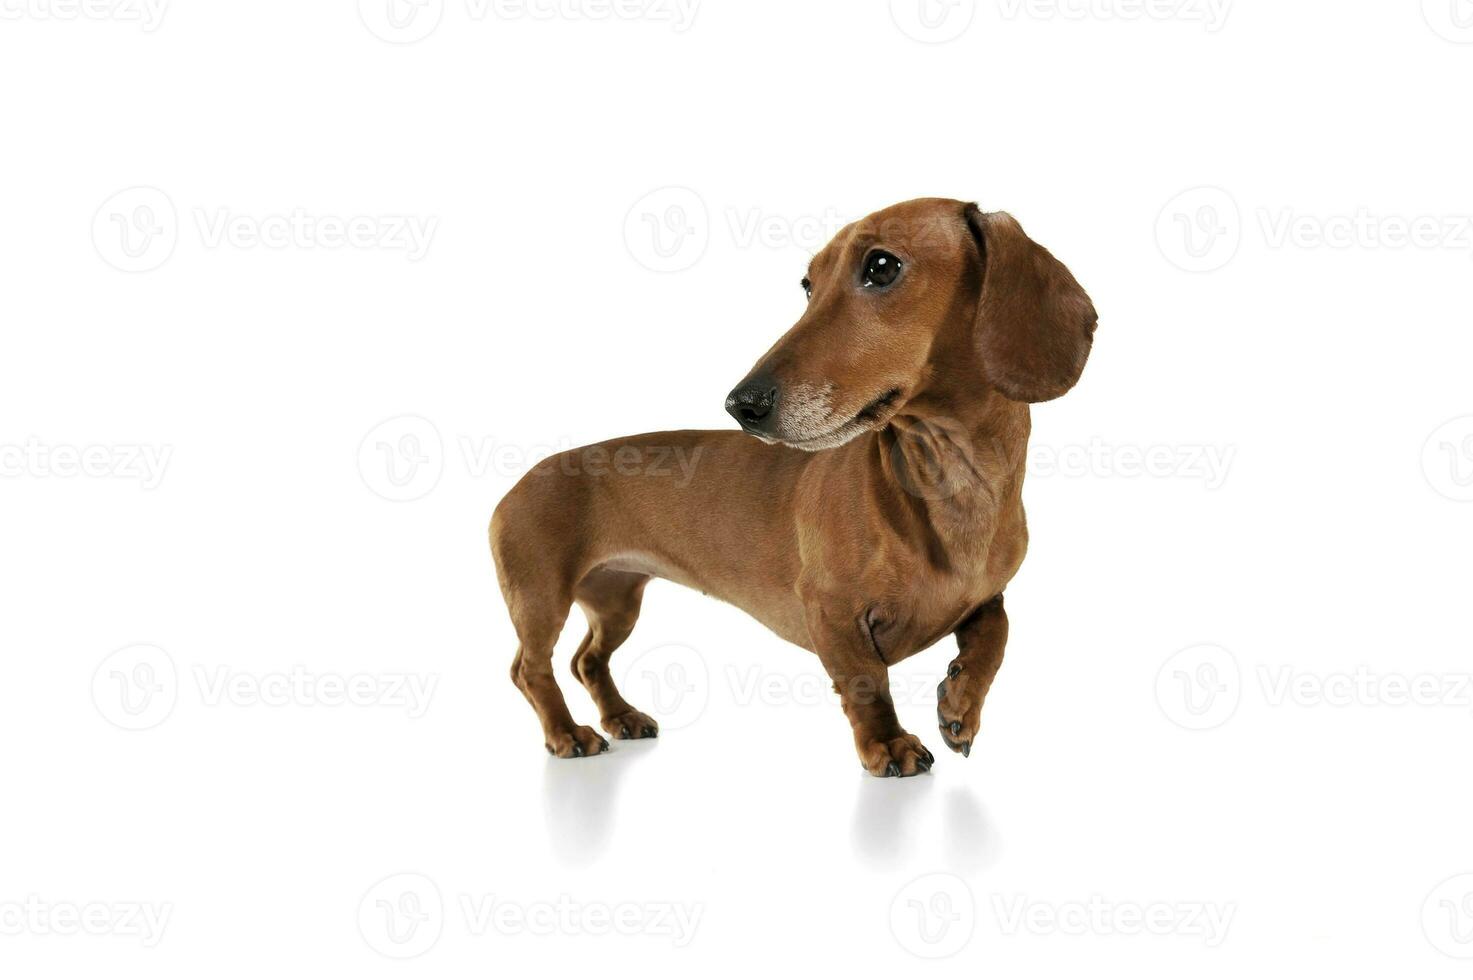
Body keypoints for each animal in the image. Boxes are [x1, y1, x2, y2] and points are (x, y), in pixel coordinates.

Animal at [489, 194, 1101, 778]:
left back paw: (621, 717)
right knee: (531, 669)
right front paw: (888, 744)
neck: (951, 482)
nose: (741, 404)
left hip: (616, 599)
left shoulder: (989, 598)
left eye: (881, 266)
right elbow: (865, 680)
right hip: (541, 597)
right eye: (808, 285)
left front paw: (960, 704)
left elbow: (995, 636)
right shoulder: (830, 611)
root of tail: (519, 481)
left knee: (586, 660)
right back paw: (568, 734)